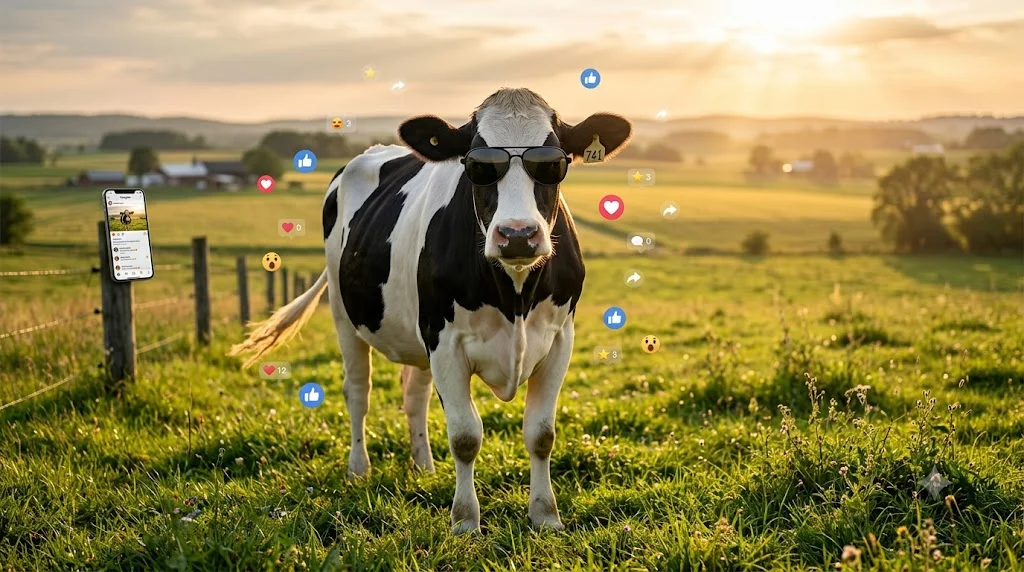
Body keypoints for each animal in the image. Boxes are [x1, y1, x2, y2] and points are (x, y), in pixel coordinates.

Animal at [230, 88, 632, 534]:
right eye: (476, 165)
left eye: (554, 164)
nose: (517, 235)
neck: (513, 293)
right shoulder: (445, 341)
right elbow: (465, 436)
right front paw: (465, 521)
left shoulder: (559, 340)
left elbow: (541, 434)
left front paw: (545, 516)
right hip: (343, 313)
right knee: (358, 391)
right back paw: (358, 468)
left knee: (414, 395)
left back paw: (423, 466)